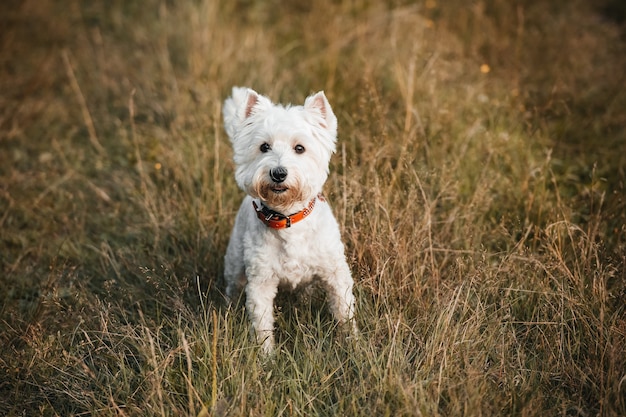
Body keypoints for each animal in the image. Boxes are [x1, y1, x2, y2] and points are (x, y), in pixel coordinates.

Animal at [222, 87, 356, 352]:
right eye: (264, 147)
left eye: (300, 148)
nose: (278, 173)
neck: (288, 219)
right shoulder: (261, 281)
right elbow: (262, 323)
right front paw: (266, 355)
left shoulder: (336, 272)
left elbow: (344, 309)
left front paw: (353, 344)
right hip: (235, 263)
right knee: (233, 285)